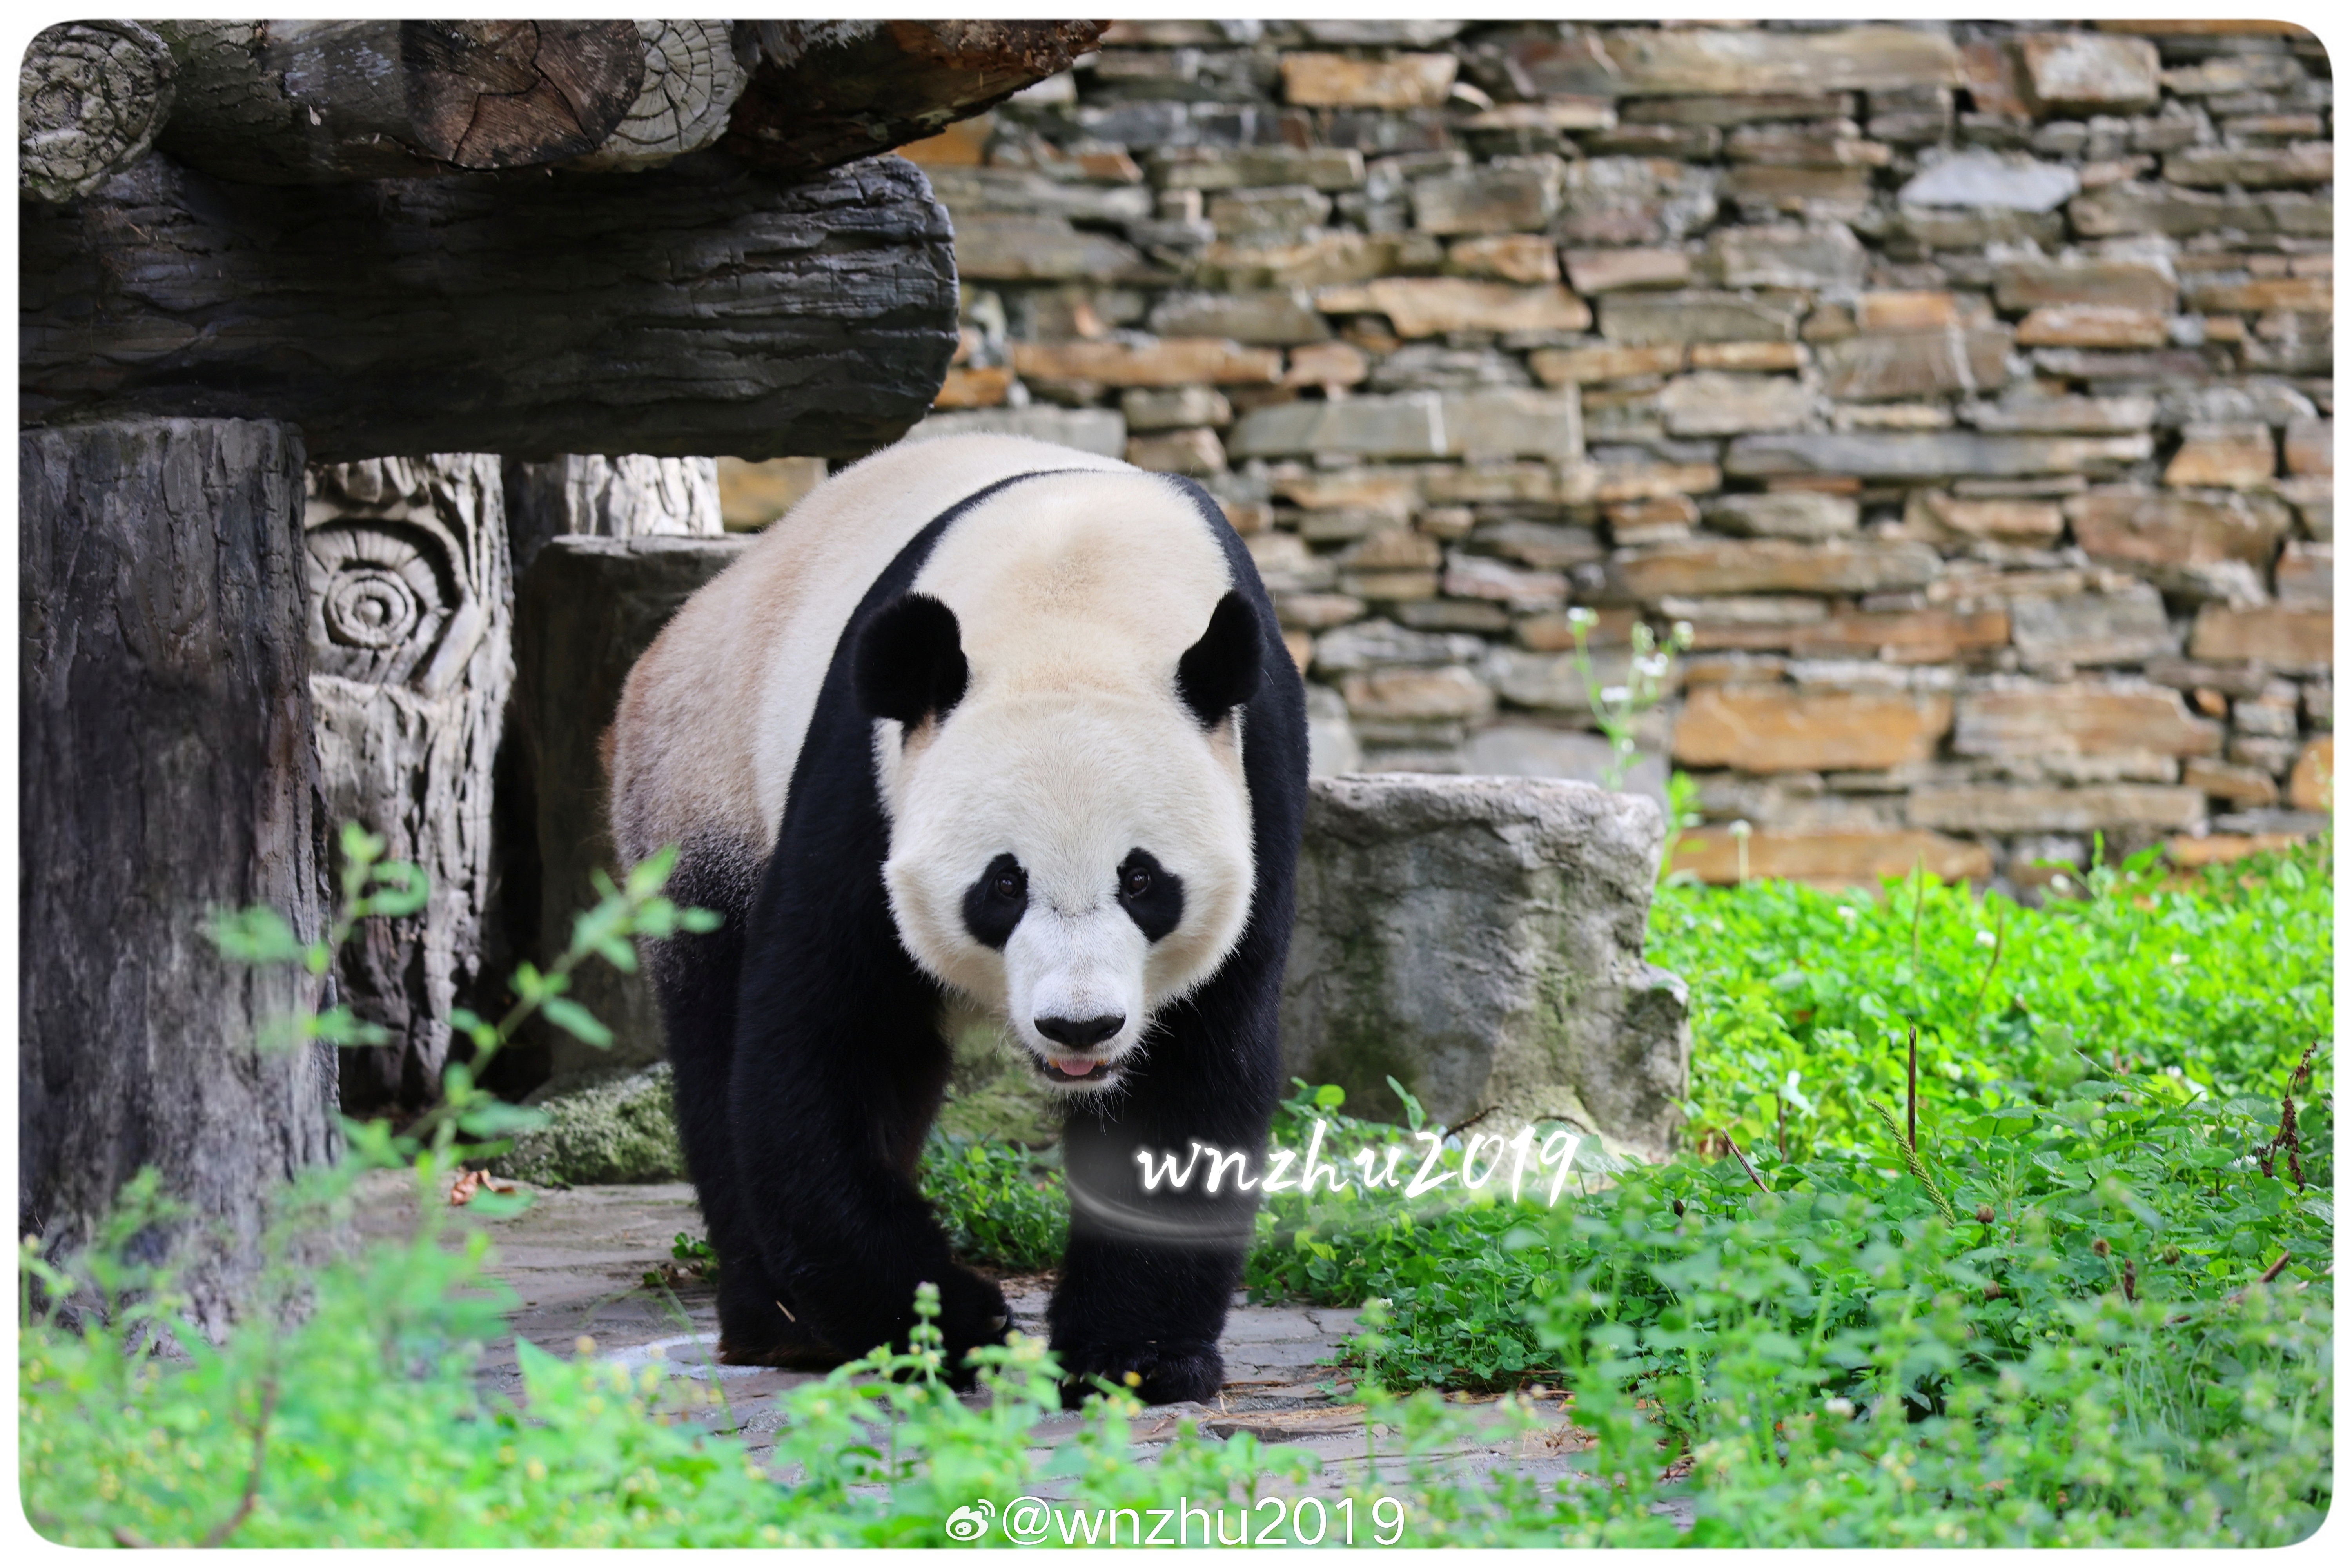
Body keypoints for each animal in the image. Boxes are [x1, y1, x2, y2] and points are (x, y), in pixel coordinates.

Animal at [607, 433, 1307, 1404]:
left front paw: (1134, 1355)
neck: (1077, 590)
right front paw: (953, 1323)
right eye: (1003, 885)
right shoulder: (870, 782)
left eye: (1142, 880)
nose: (1080, 1025)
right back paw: (779, 1324)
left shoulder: (1254, 776)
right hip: (704, 781)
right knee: (717, 1033)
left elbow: (1195, 1065)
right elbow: (827, 1042)